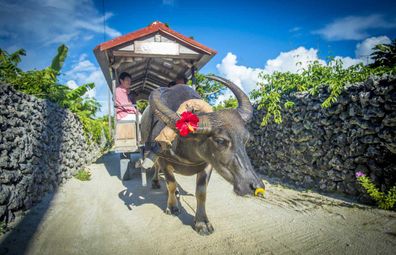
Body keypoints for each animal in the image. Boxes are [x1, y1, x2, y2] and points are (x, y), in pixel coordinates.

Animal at [141, 75, 264, 235]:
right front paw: (172, 207)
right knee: (155, 167)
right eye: (220, 140)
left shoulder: (207, 165)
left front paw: (202, 222)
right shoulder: (164, 160)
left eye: (246, 139)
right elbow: (171, 184)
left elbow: (201, 192)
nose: (255, 186)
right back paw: (156, 182)